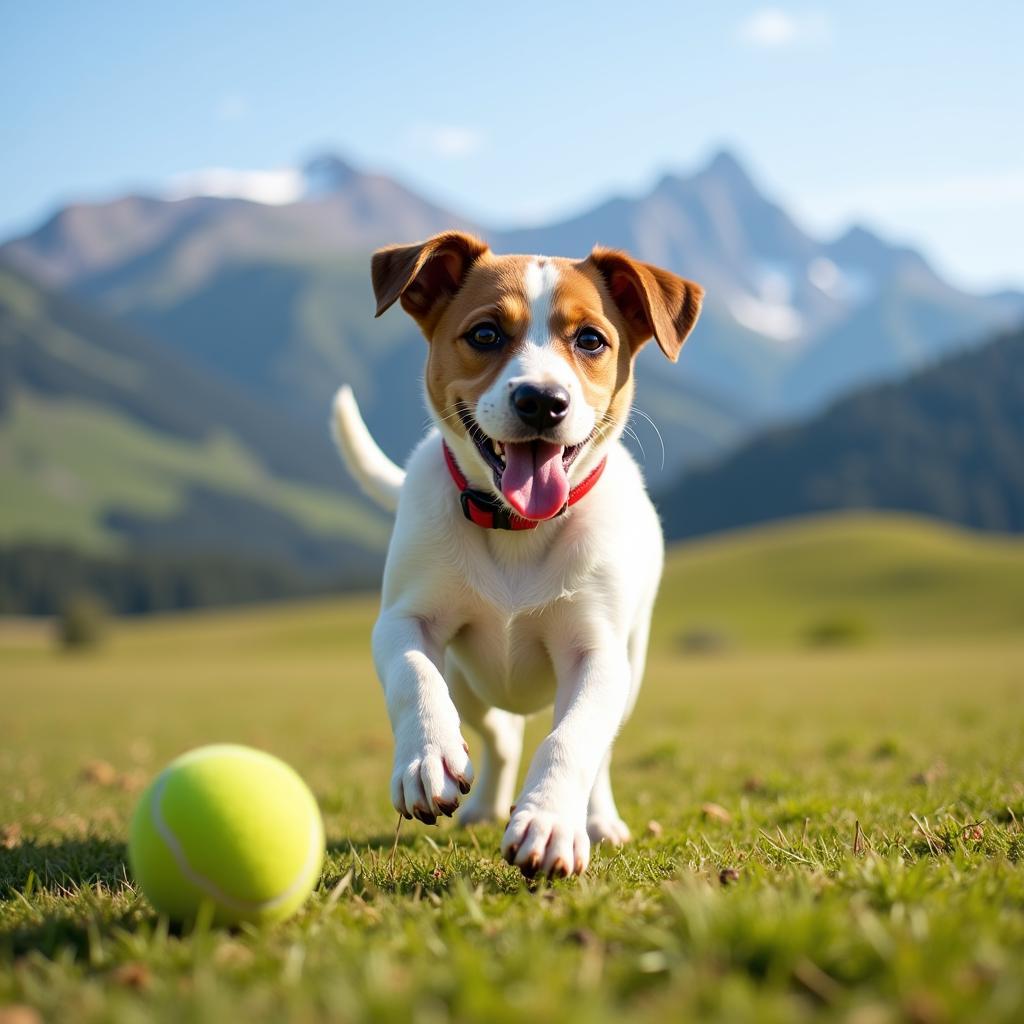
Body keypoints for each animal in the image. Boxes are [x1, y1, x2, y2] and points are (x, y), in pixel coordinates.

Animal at [335, 234, 704, 880]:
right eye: (485, 334)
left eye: (591, 340)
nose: (542, 401)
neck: (517, 527)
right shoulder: (404, 620)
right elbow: (413, 675)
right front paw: (427, 759)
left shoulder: (597, 654)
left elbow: (573, 738)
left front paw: (551, 820)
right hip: (470, 680)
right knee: (499, 733)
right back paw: (482, 801)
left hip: (630, 664)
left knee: (597, 746)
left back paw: (598, 819)